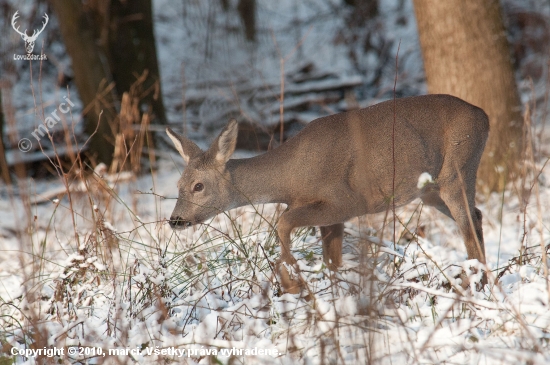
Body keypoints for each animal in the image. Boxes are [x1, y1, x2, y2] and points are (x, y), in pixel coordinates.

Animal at [166, 93, 490, 292]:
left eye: (198, 186)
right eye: (178, 185)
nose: (175, 220)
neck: (290, 178)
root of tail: (484, 115)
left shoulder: (345, 201)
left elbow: (283, 221)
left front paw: (292, 282)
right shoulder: (332, 217)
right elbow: (331, 260)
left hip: (458, 169)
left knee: (468, 224)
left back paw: (471, 287)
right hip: (430, 191)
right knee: (477, 215)